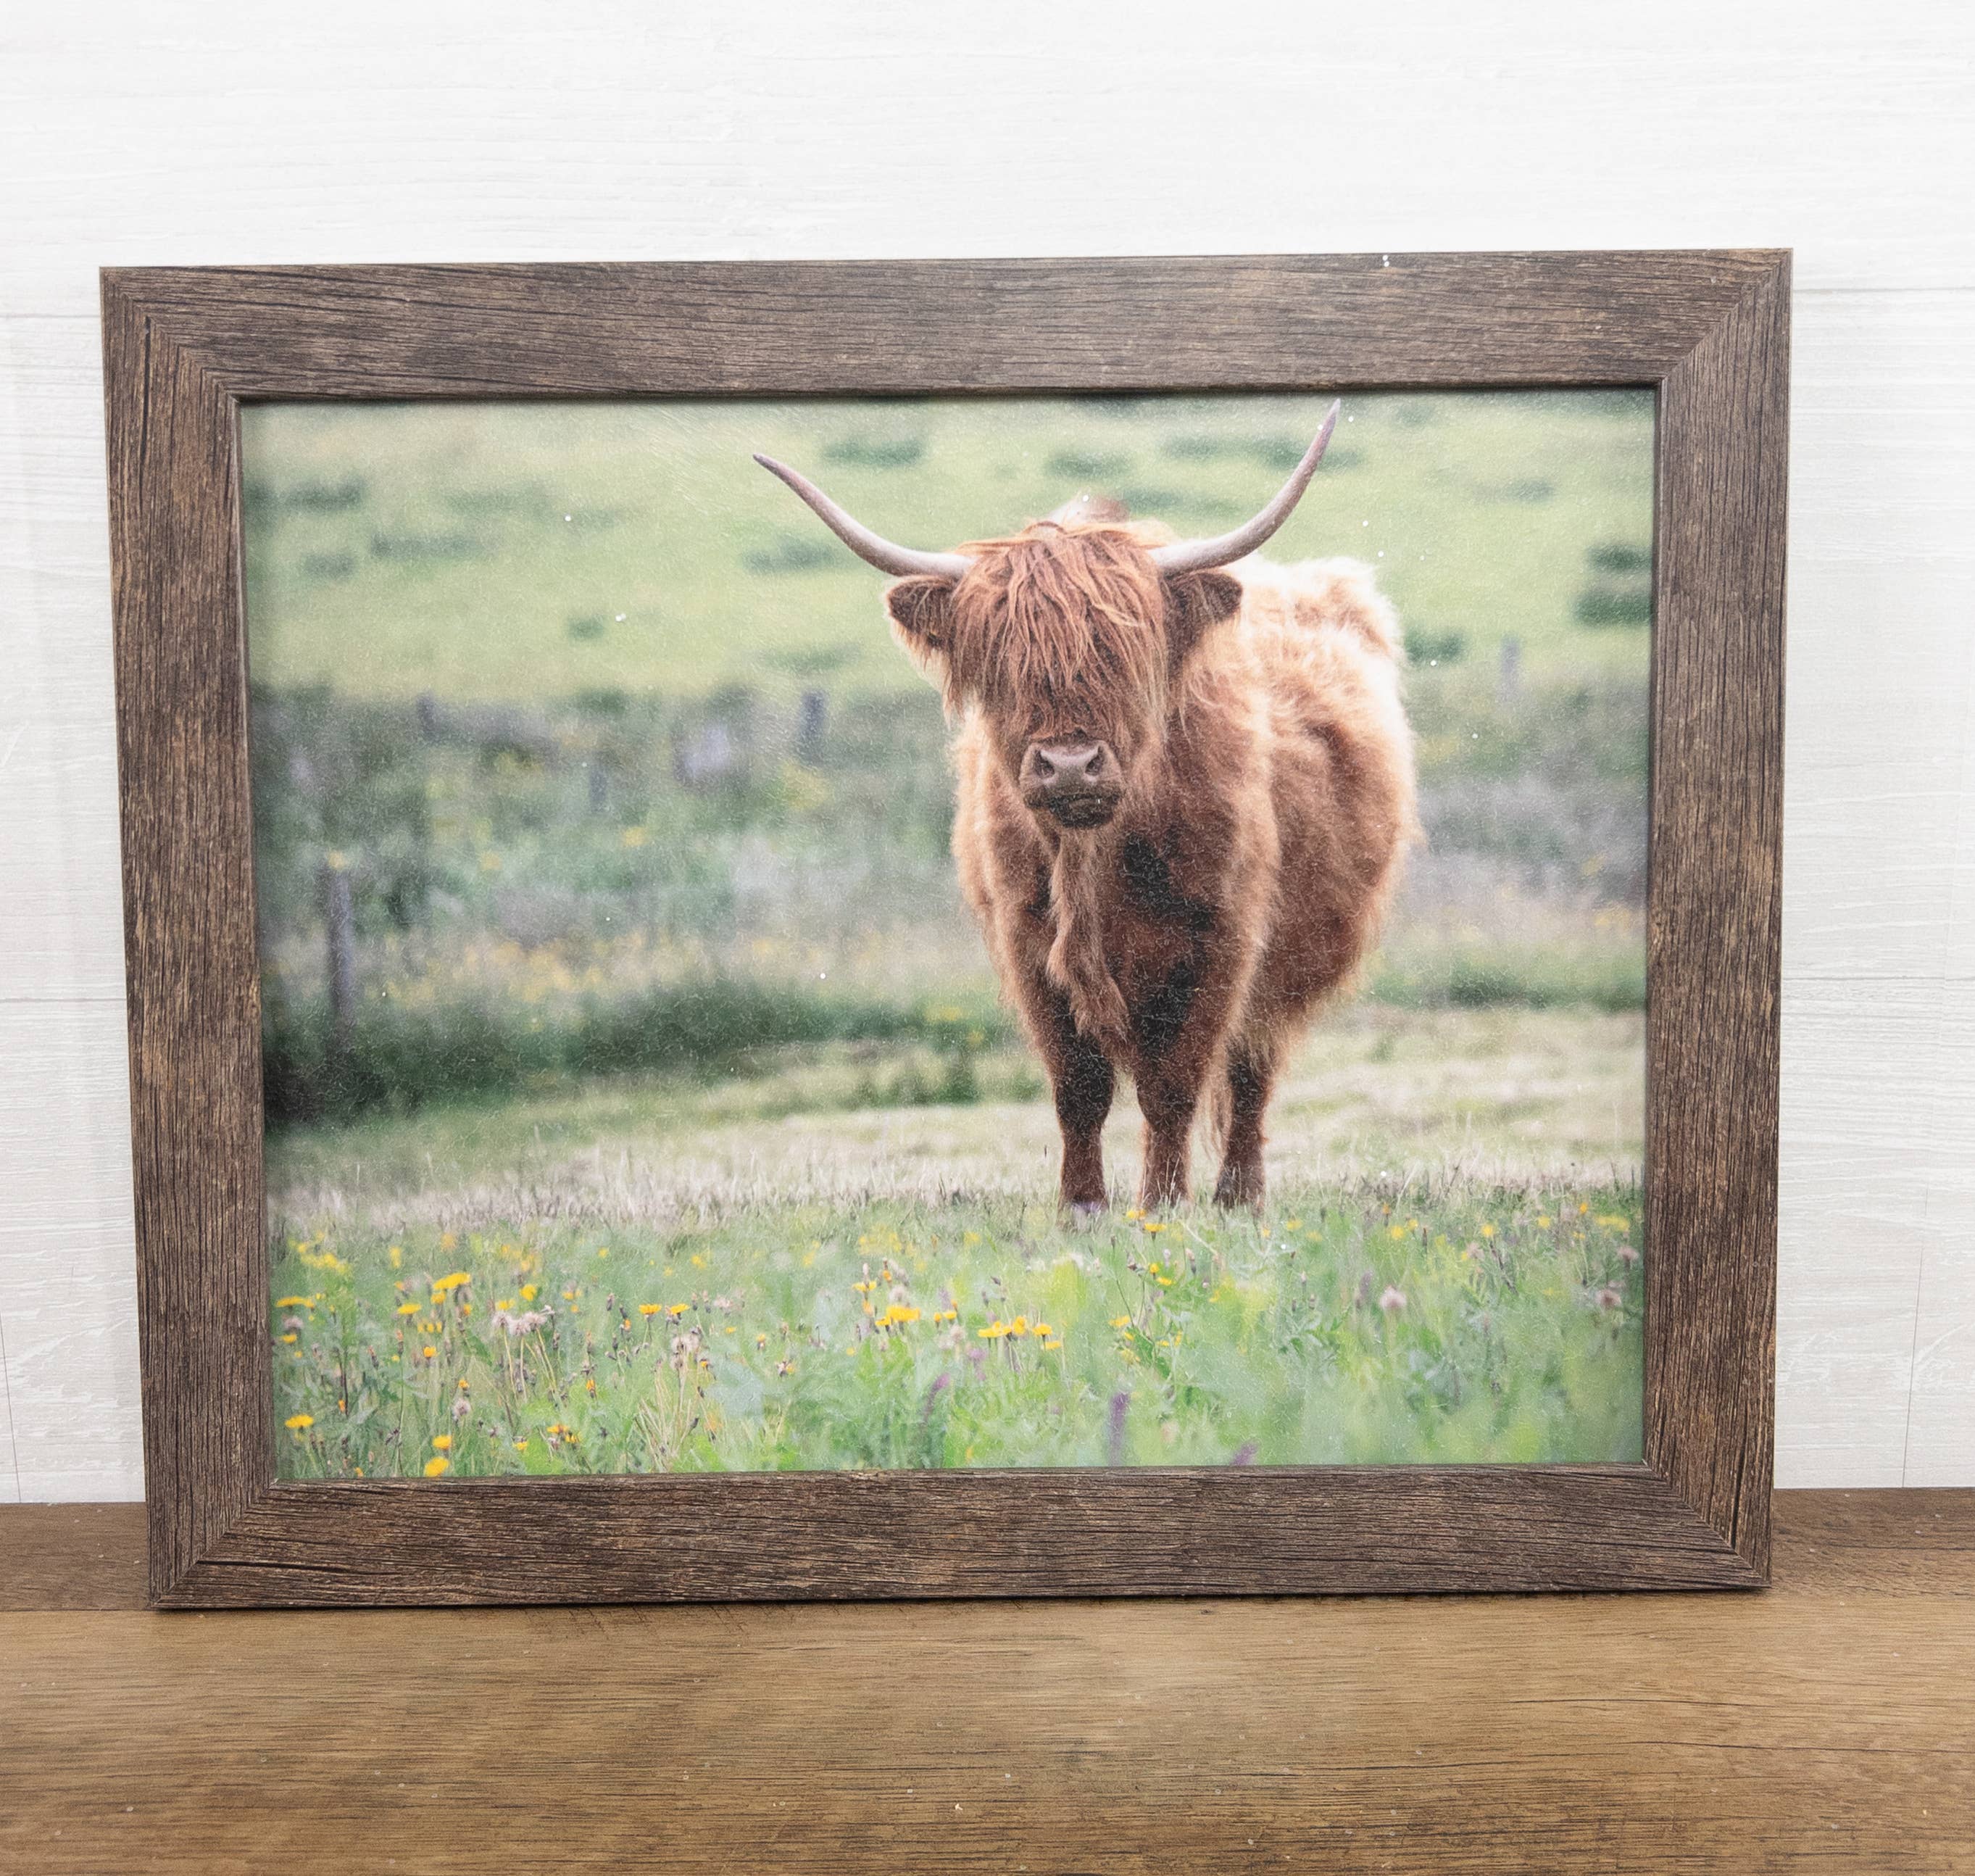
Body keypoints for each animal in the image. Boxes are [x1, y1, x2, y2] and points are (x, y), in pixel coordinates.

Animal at [756, 404, 1417, 1212]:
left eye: (1121, 655)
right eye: (1001, 662)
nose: (1069, 765)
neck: (1096, 859)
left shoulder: (1219, 942)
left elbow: (1172, 1086)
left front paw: (1161, 1206)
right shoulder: (1029, 945)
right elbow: (1078, 1087)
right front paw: (1081, 1207)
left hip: (1288, 958)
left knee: (1251, 1068)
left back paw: (1238, 1195)